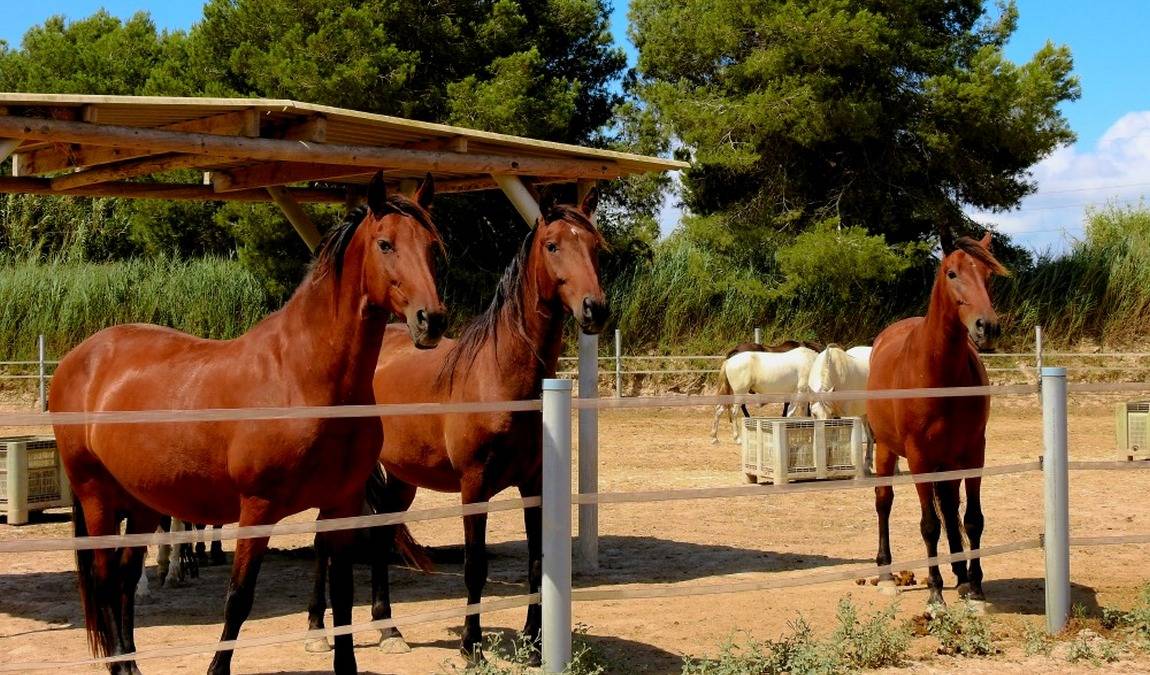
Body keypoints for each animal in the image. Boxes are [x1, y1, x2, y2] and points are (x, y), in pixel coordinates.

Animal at [49, 173, 446, 675]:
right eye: (385, 244)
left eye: (431, 246)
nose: (431, 321)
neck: (302, 377)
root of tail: (79, 359)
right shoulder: (256, 509)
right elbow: (238, 598)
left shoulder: (341, 504)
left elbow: (341, 597)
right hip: (98, 497)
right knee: (103, 579)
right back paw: (119, 665)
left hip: (141, 502)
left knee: (123, 577)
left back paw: (133, 664)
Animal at [305, 190, 607, 662]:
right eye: (553, 245)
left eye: (595, 247)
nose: (595, 309)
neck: (499, 378)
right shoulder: (474, 486)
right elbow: (474, 565)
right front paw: (471, 645)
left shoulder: (534, 486)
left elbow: (537, 563)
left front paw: (535, 644)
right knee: (325, 541)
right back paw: (318, 628)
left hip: (402, 479)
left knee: (380, 536)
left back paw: (389, 629)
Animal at [866, 233, 1006, 611]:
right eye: (952, 273)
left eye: (989, 275)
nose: (987, 326)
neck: (937, 372)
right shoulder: (919, 457)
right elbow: (929, 524)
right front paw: (934, 594)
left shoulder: (974, 453)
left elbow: (972, 520)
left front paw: (975, 589)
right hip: (886, 450)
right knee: (884, 501)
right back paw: (887, 574)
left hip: (949, 461)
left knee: (950, 507)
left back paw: (960, 575)